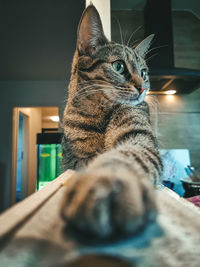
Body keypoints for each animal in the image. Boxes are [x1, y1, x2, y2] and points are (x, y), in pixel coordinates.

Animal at [60, 4, 162, 240]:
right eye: (118, 66)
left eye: (144, 72)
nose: (143, 87)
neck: (98, 115)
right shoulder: (70, 159)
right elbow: (81, 160)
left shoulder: (139, 136)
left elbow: (125, 155)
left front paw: (110, 180)